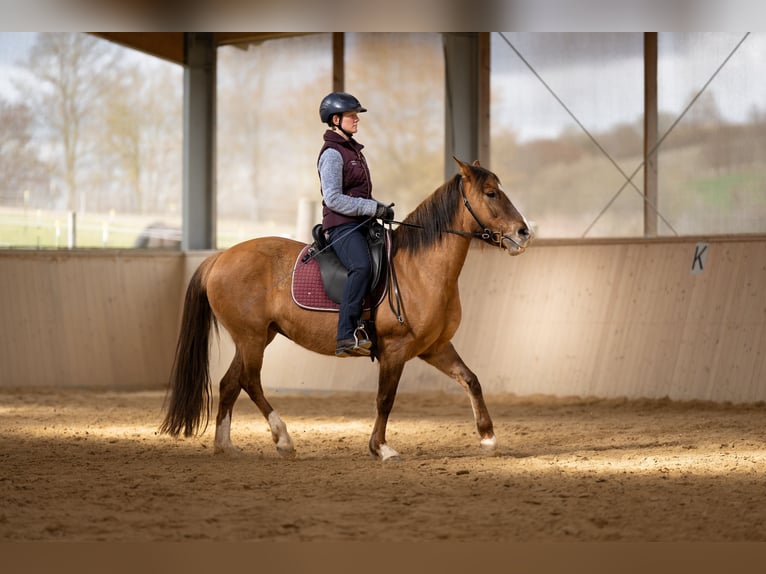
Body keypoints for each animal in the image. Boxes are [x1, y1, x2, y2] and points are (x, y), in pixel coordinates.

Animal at [160, 159, 536, 464]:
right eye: (491, 193)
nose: (523, 233)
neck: (419, 269)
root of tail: (219, 257)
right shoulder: (395, 350)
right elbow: (385, 399)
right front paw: (381, 448)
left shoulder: (433, 348)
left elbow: (471, 380)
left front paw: (488, 438)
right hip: (251, 338)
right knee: (250, 382)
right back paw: (283, 439)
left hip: (256, 337)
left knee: (229, 384)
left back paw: (225, 445)